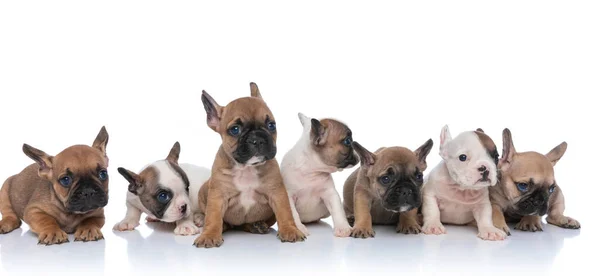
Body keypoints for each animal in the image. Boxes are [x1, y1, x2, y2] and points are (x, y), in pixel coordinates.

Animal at [193, 82, 304, 248]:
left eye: (271, 125)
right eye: (235, 129)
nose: (258, 139)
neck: (246, 168)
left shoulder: (277, 194)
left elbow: (285, 213)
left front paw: (290, 230)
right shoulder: (217, 197)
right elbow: (213, 217)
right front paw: (209, 235)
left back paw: (256, 225)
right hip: (204, 189)